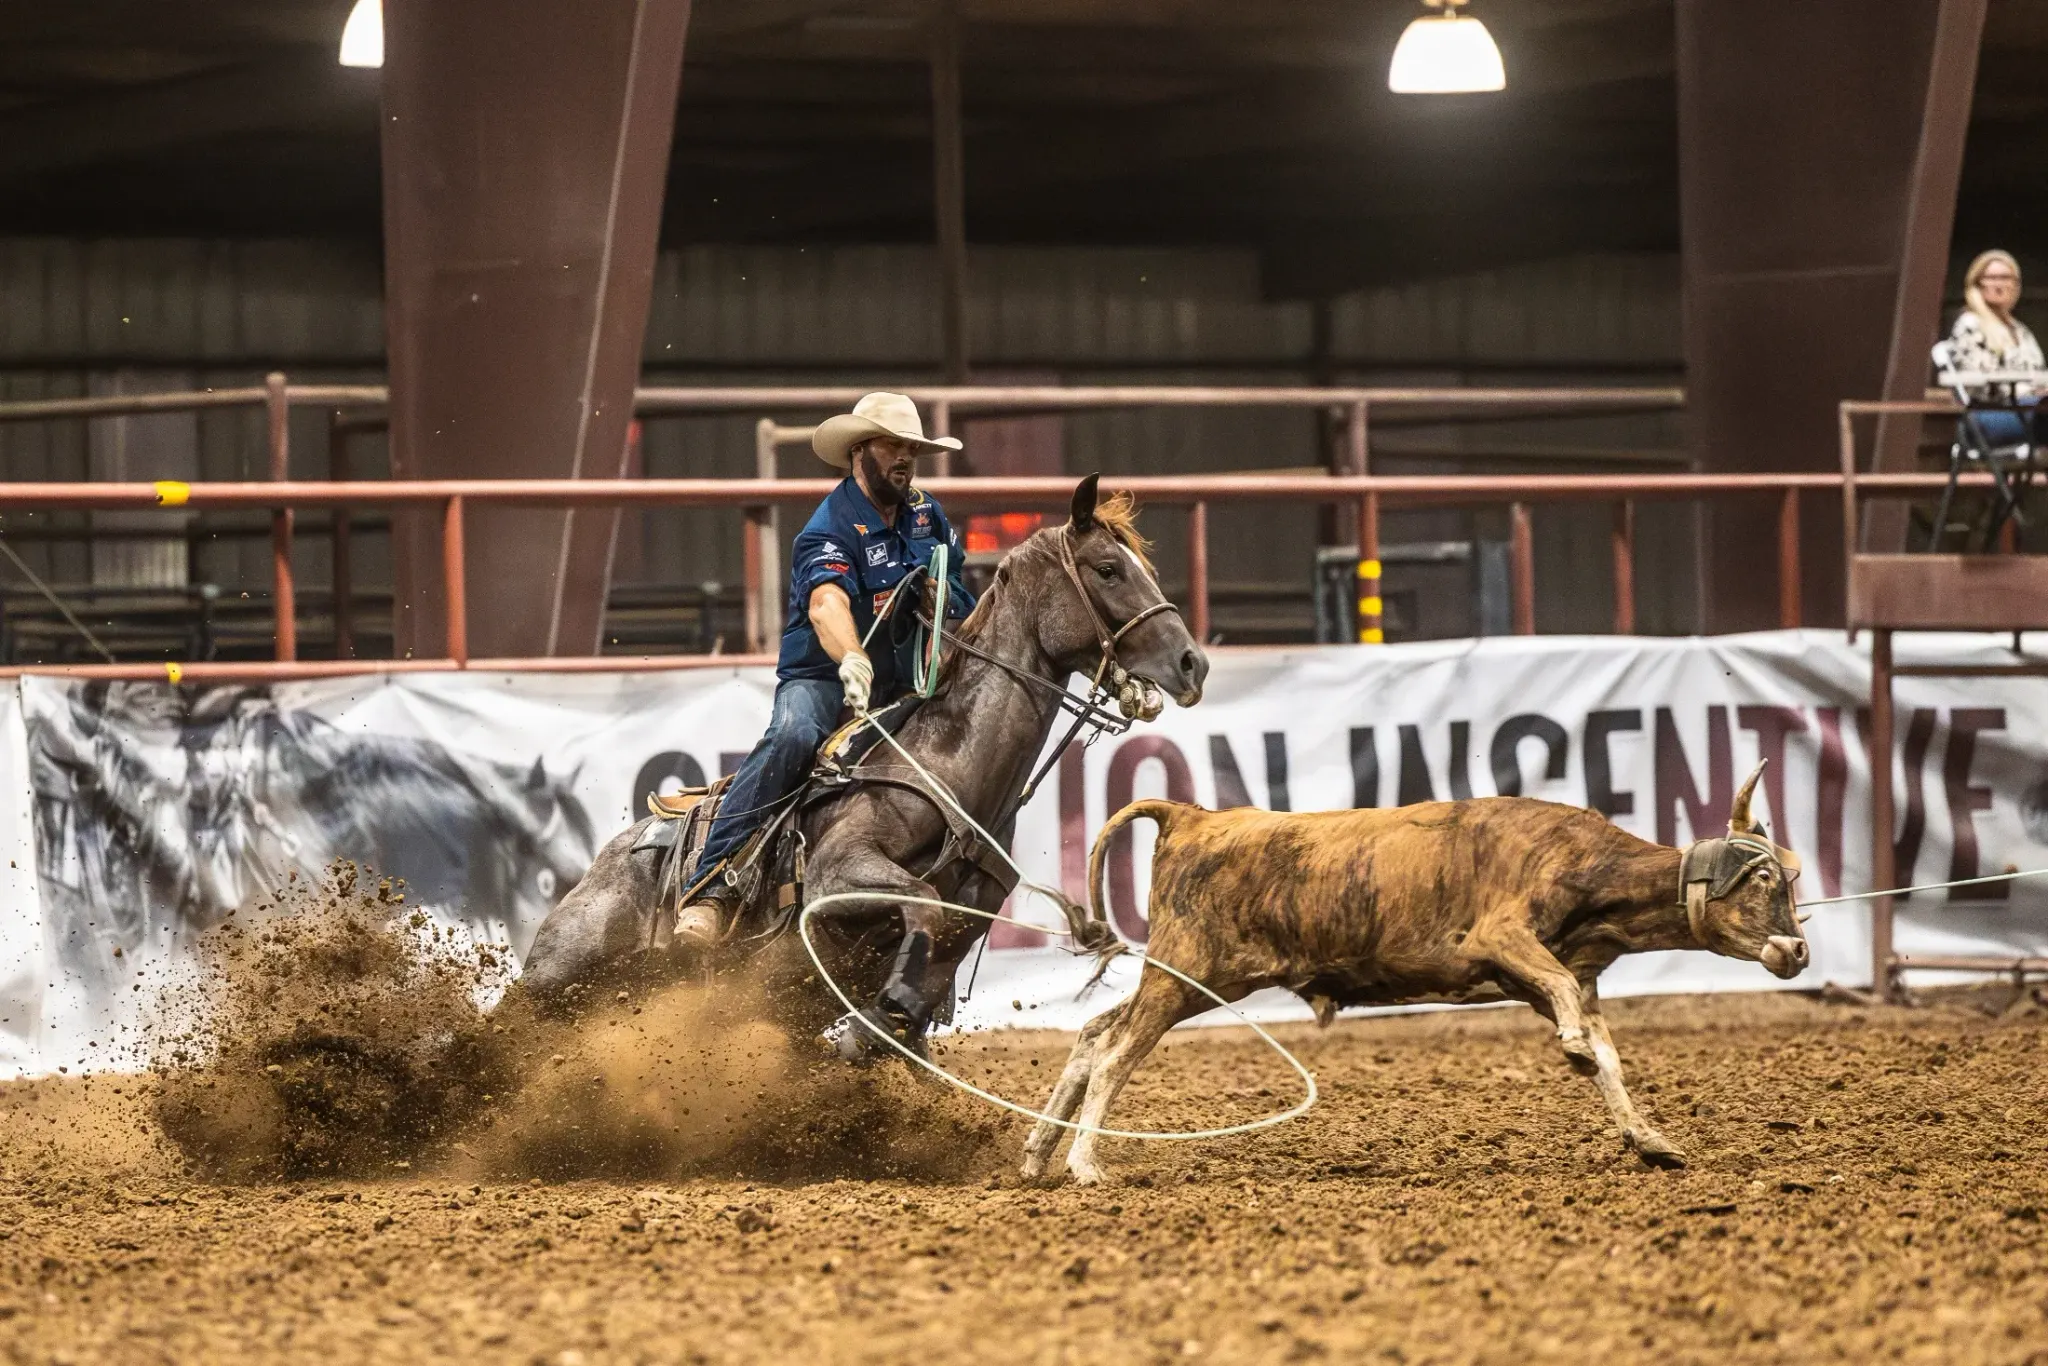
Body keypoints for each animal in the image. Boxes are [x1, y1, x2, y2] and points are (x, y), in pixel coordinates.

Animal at [517, 475, 1209, 1058]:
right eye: (1109, 570)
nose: (1192, 663)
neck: (949, 770)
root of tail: (622, 849)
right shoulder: (838, 874)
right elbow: (922, 901)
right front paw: (881, 1013)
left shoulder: (965, 928)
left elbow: (925, 975)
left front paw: (879, 1026)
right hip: (556, 978)